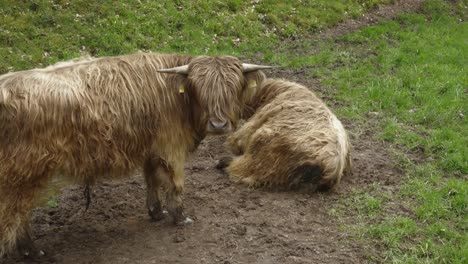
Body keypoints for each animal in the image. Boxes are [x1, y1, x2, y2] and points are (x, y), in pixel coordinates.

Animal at [0, 52, 270, 258]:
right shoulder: (171, 148)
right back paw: (32, 251)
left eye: (232, 87)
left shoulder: (152, 149)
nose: (218, 124)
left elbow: (152, 180)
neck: (178, 100)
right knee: (15, 215)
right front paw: (180, 217)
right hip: (23, 174)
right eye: (200, 89)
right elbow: (175, 184)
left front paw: (156, 212)